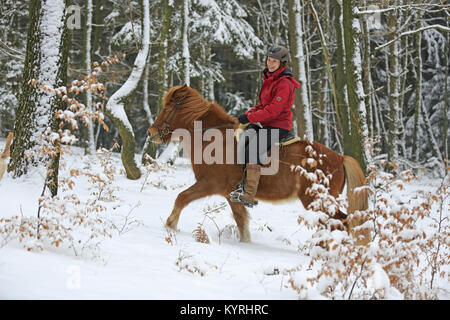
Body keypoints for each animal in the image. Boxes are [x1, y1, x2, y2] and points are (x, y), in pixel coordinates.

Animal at [149, 85, 370, 245]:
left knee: (340, 223)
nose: (151, 132)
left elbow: (182, 197)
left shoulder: (210, 184)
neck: (215, 140)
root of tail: (340, 157)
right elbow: (241, 221)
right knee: (338, 223)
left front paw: (170, 225)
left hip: (317, 200)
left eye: (167, 107)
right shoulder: (230, 194)